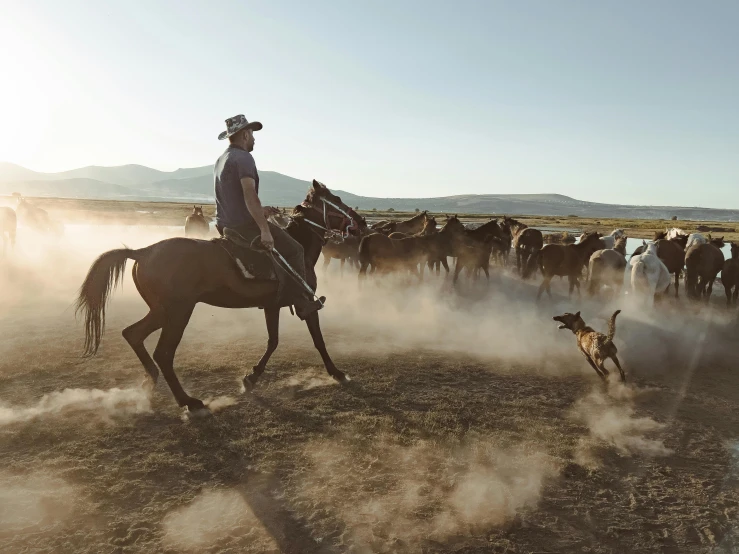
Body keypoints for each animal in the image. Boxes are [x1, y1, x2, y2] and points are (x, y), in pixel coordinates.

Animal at [76, 181, 368, 410]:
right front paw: (336, 373)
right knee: (163, 353)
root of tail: (142, 251)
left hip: (161, 311)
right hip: (178, 312)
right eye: (336, 199)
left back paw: (150, 382)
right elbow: (318, 340)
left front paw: (251, 377)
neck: (301, 247)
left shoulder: (272, 305)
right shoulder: (306, 302)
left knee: (133, 334)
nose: (361, 222)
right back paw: (188, 401)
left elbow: (273, 341)